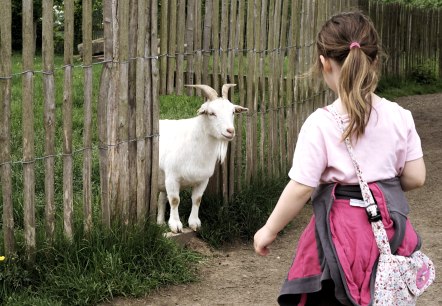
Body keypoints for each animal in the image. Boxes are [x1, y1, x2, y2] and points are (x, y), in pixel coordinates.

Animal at [156, 83, 249, 232]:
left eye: (233, 112)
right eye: (211, 113)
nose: (230, 131)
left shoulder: (203, 179)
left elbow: (197, 199)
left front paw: (194, 223)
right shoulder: (172, 177)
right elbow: (175, 200)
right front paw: (176, 225)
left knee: (161, 198)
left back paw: (159, 223)